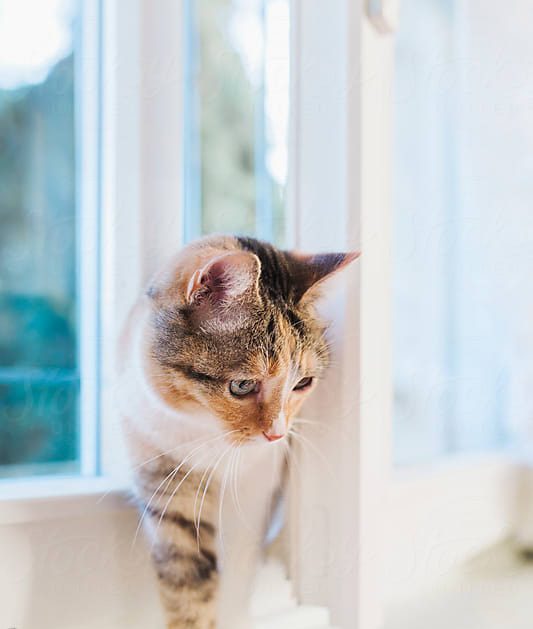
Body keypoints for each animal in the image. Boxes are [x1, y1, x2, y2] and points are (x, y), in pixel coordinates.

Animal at [118, 233, 356, 624]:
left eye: (303, 383)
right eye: (242, 386)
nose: (277, 434)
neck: (203, 431)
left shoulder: (257, 487)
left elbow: (240, 573)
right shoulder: (164, 479)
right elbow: (187, 585)